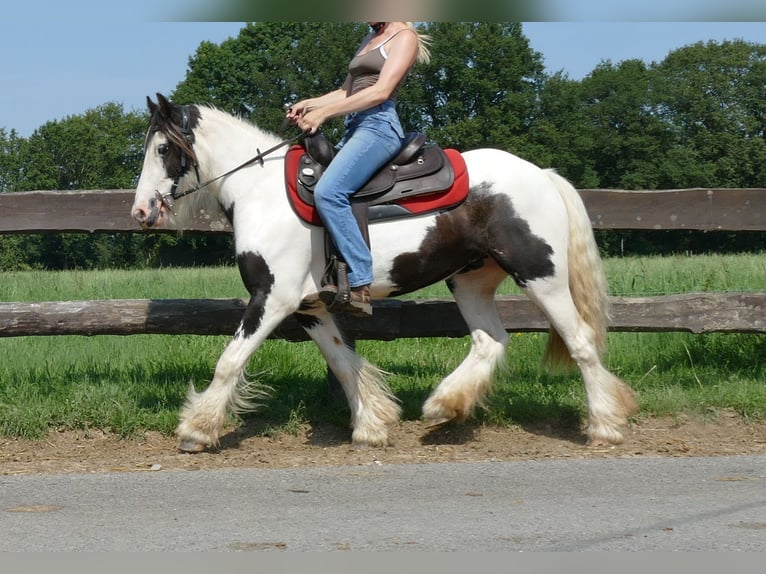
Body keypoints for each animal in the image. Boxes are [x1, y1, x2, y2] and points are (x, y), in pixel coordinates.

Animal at [134, 93, 640, 454]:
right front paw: (372, 424)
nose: (140, 211)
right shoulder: (309, 307)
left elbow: (230, 361)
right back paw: (443, 405)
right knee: (490, 341)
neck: (260, 191)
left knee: (580, 342)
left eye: (163, 148)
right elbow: (343, 363)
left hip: (541, 275)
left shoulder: (272, 299)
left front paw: (196, 430)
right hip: (470, 280)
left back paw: (605, 425)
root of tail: (542, 174)